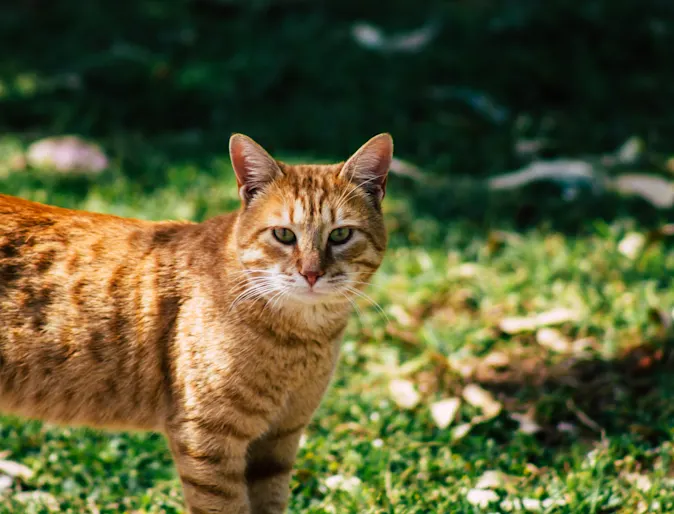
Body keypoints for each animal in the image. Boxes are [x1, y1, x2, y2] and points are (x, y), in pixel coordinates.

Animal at [0, 133, 394, 512]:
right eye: (284, 234)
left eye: (340, 234)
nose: (311, 274)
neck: (298, 343)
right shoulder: (208, 439)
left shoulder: (279, 439)